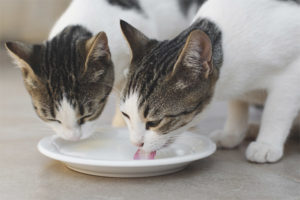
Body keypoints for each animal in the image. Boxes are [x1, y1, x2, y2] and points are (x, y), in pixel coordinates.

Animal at [119, 0, 300, 163]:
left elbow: (276, 111)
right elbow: (238, 105)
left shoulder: (292, 72)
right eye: (126, 115)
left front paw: (266, 144)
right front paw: (232, 133)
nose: (135, 143)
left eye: (154, 122)